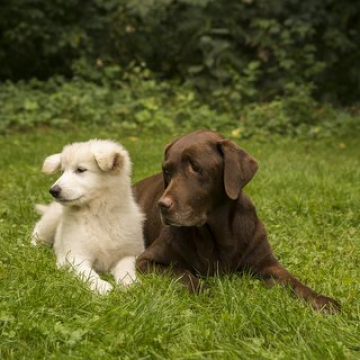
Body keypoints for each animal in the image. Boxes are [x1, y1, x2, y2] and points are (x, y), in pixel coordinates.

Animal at [32, 139, 145, 294]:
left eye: (80, 170)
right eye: (62, 171)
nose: (53, 191)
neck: (99, 214)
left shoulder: (129, 253)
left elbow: (127, 268)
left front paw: (130, 284)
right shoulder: (74, 256)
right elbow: (86, 272)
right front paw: (102, 287)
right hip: (50, 222)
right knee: (37, 232)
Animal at [134, 129, 340, 312]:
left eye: (196, 168)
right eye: (167, 171)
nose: (162, 205)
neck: (214, 235)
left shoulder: (267, 263)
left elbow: (292, 281)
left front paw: (321, 300)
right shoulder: (146, 261)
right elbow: (185, 275)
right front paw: (208, 294)